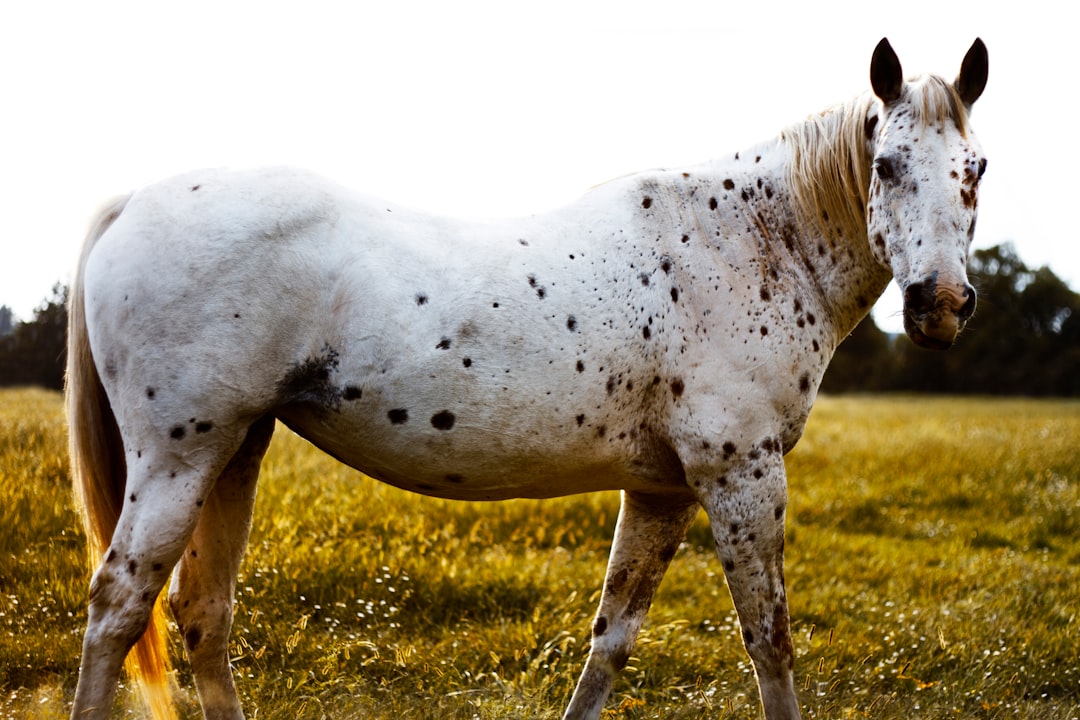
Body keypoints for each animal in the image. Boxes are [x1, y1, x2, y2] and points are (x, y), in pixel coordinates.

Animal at [67, 39, 989, 720]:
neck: (755, 240)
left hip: (236, 454)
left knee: (202, 616)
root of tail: (130, 201)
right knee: (119, 606)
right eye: (889, 165)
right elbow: (770, 640)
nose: (940, 305)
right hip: (180, 459)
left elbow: (612, 638)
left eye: (976, 169)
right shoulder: (740, 474)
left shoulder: (663, 491)